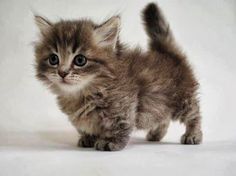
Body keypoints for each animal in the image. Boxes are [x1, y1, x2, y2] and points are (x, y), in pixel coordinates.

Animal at [34, 2, 203, 151]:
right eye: (53, 59)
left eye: (80, 60)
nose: (62, 72)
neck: (83, 93)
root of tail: (167, 54)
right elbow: (85, 127)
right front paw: (88, 138)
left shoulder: (123, 107)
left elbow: (119, 126)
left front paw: (110, 142)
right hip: (161, 103)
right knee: (163, 118)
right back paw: (156, 134)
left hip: (182, 100)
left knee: (194, 114)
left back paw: (193, 135)